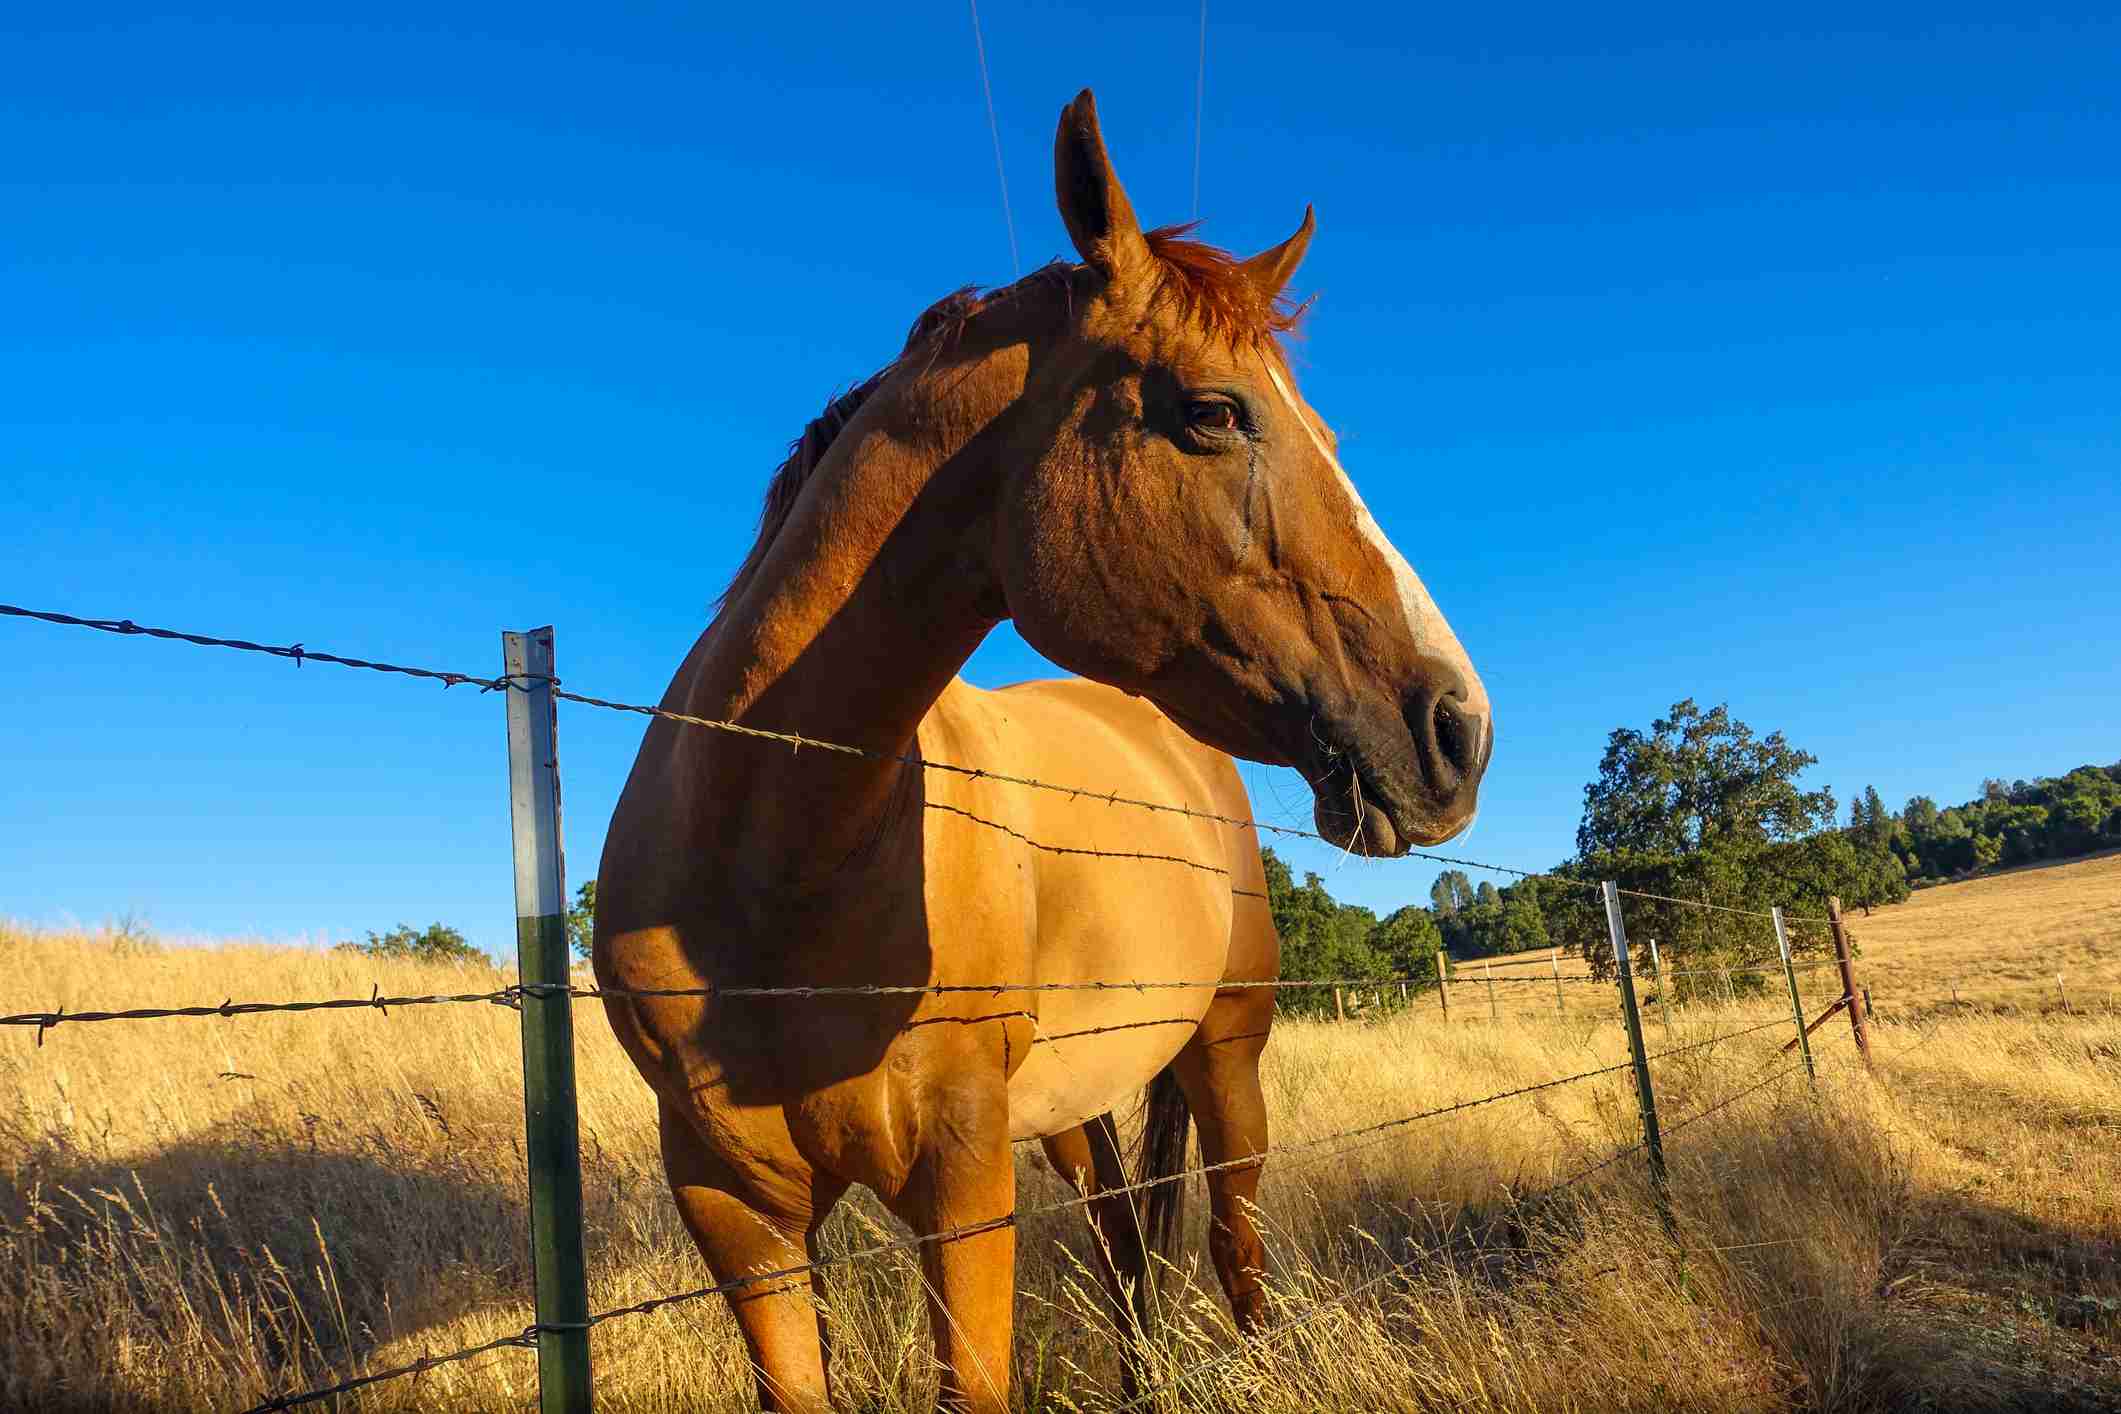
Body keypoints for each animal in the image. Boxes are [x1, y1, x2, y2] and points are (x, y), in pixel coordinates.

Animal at [593, 91, 1493, 1414]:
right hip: (1075, 1104)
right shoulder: (736, 1211)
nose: (1458, 730)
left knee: (1233, 1244)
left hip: (1229, 1049)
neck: (772, 859)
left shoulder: (963, 1182)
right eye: (1212, 411)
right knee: (1125, 1243)